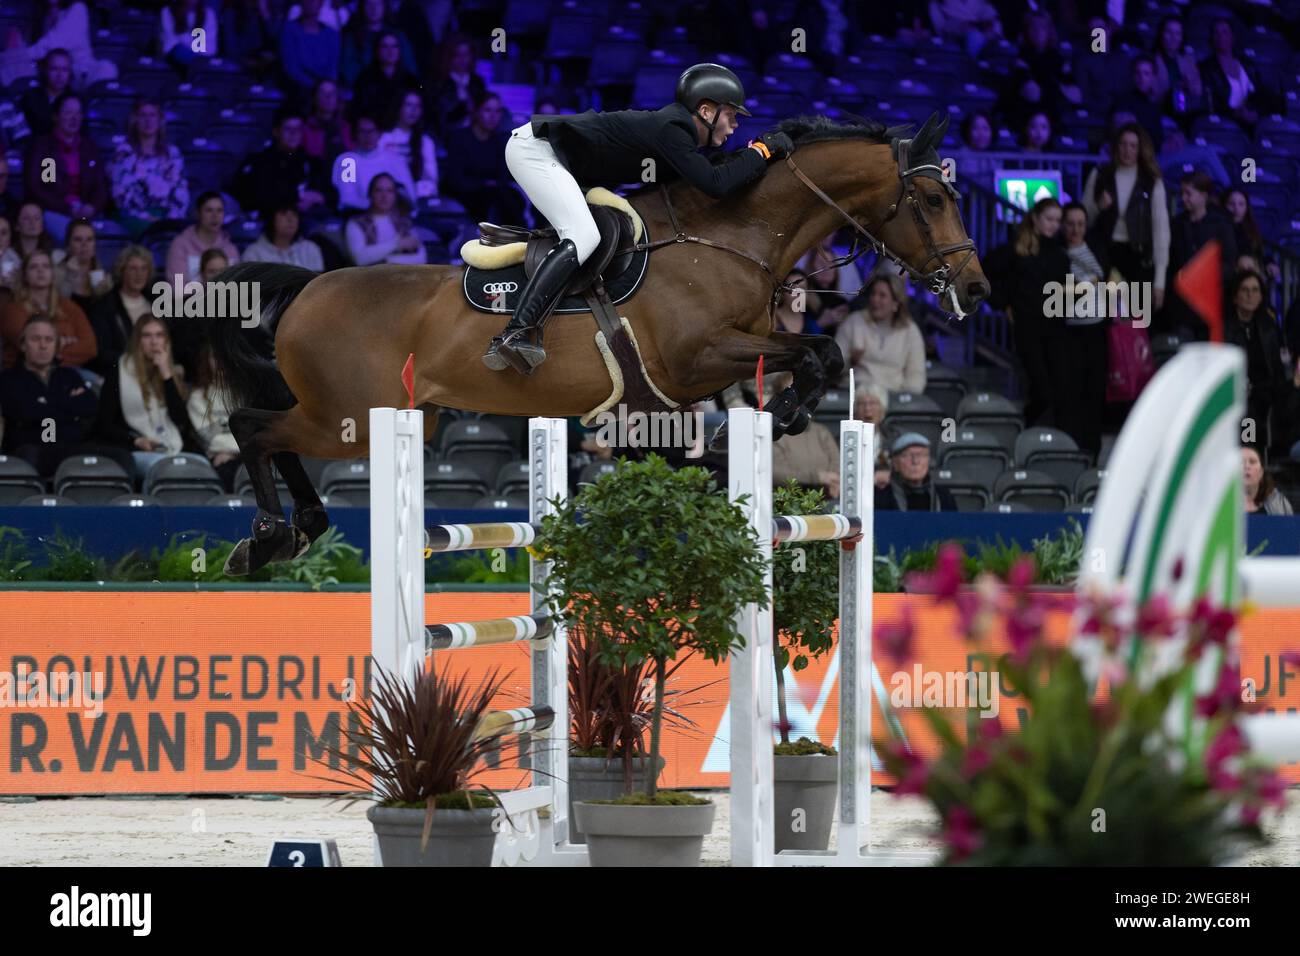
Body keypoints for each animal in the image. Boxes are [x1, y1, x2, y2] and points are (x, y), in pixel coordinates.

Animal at [208, 111, 987, 574]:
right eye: (935, 199)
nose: (976, 288)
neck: (728, 235)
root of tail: (308, 288)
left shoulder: (730, 350)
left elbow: (815, 352)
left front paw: (780, 414)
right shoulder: (696, 358)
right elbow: (817, 350)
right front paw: (779, 415)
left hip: (395, 417)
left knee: (271, 434)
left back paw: (291, 531)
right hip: (349, 418)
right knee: (254, 426)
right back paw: (271, 534)